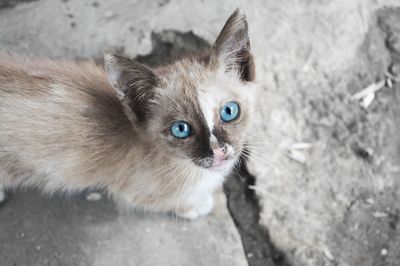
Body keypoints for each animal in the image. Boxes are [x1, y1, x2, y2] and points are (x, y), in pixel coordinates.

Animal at [0, 9, 256, 219]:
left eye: (229, 111)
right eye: (181, 129)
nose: (219, 151)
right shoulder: (133, 192)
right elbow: (168, 201)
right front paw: (196, 205)